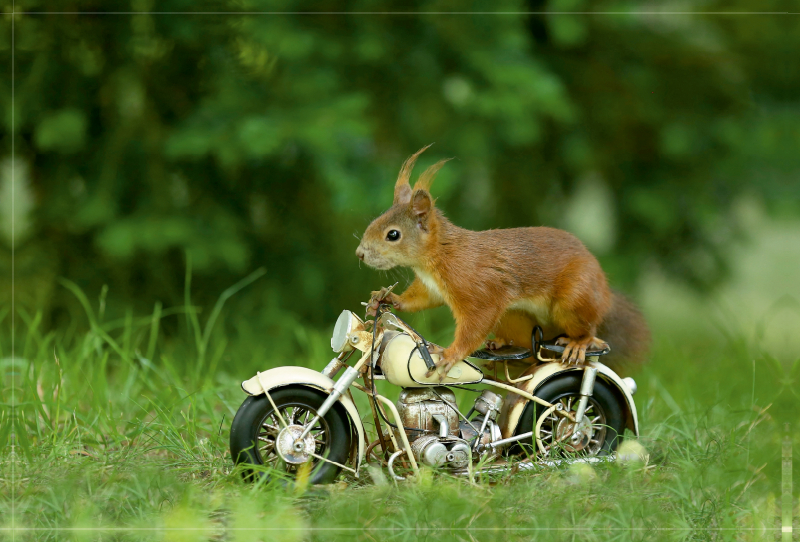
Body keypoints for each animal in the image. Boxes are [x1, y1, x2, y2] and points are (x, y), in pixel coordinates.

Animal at [356, 147, 648, 380]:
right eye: (375, 221)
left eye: (393, 235)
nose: (359, 253)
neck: (438, 258)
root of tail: (604, 293)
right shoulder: (431, 288)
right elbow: (419, 300)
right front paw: (386, 299)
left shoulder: (478, 288)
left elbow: (475, 323)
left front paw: (451, 354)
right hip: (514, 317)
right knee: (526, 350)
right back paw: (500, 345)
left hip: (575, 300)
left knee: (589, 330)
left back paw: (579, 343)